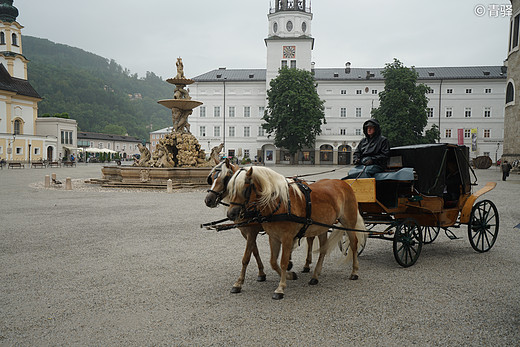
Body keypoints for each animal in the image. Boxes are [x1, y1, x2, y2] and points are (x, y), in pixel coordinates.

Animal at [205, 160, 314, 294]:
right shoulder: (246, 232)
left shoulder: (252, 231)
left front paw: (239, 283)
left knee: (310, 239)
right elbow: (254, 252)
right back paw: (289, 262)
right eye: (212, 178)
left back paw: (306, 265)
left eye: (225, 178)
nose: (208, 200)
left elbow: (246, 257)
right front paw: (261, 273)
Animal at [226, 166, 366, 300]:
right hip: (322, 227)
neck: (279, 204)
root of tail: (344, 184)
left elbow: (282, 261)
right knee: (323, 250)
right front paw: (290, 275)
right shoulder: (273, 237)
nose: (231, 214)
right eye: (230, 189)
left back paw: (354, 271)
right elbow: (273, 262)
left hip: (348, 223)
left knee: (354, 244)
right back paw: (315, 275)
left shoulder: (286, 237)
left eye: (245, 189)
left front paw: (280, 288)